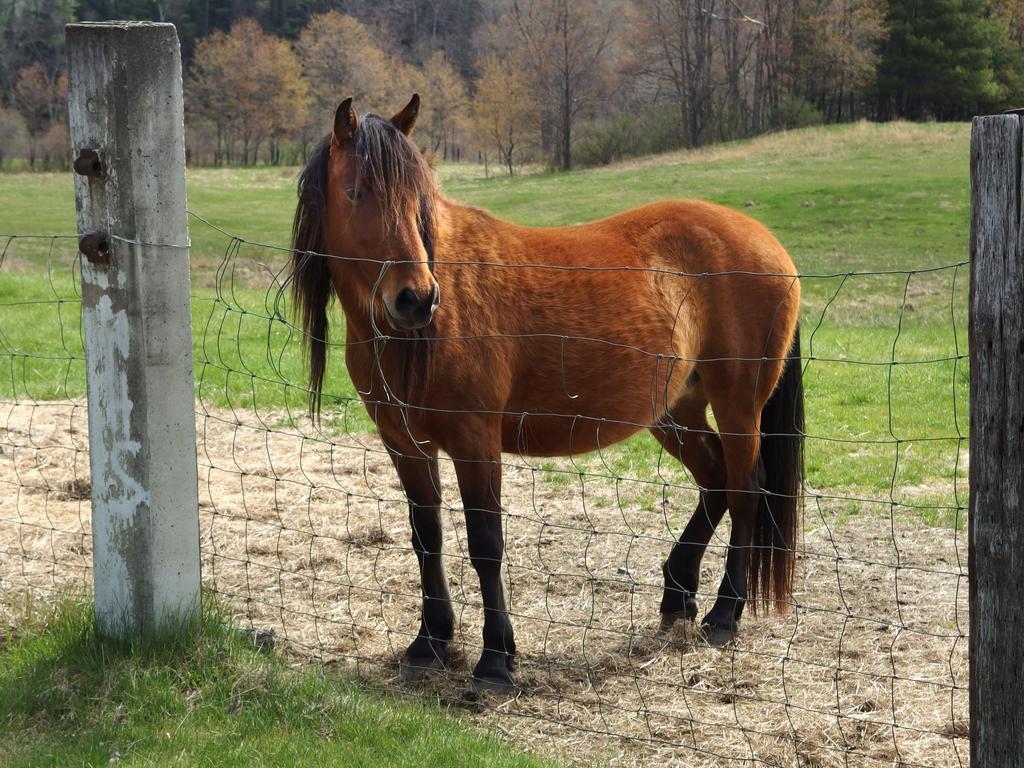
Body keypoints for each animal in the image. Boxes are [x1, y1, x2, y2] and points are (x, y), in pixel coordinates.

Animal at [292, 96, 802, 696]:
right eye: (354, 192)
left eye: (418, 200)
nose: (416, 299)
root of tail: (767, 241)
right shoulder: (405, 444)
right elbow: (427, 538)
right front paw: (429, 643)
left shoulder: (475, 441)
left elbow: (486, 544)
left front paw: (496, 660)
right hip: (675, 412)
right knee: (716, 480)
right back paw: (677, 594)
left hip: (739, 406)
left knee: (747, 489)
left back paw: (725, 614)